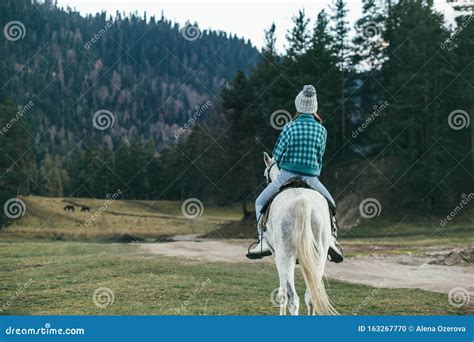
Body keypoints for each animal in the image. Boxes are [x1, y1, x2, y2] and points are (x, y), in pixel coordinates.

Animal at [262, 152, 336, 316]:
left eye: (265, 175)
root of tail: (302, 201)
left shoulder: (276, 257)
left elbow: (282, 292)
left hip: (285, 257)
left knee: (292, 298)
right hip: (318, 257)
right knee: (311, 296)